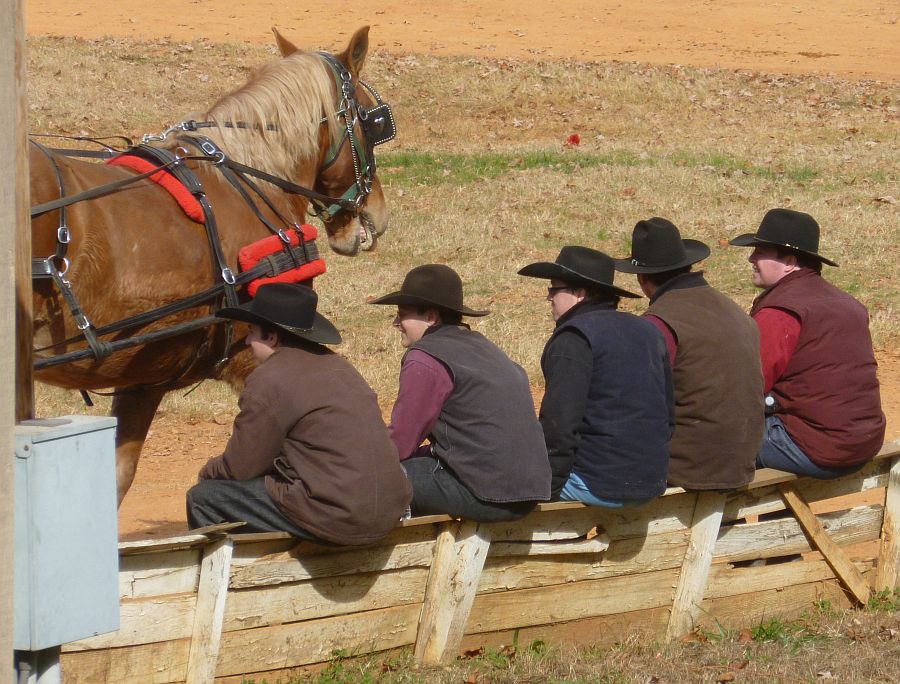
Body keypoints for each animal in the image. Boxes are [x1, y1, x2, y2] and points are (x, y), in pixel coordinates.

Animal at [29, 26, 393, 505]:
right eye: (372, 120)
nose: (378, 213)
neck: (249, 177)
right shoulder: (255, 354)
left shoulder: (143, 374)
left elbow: (119, 478)